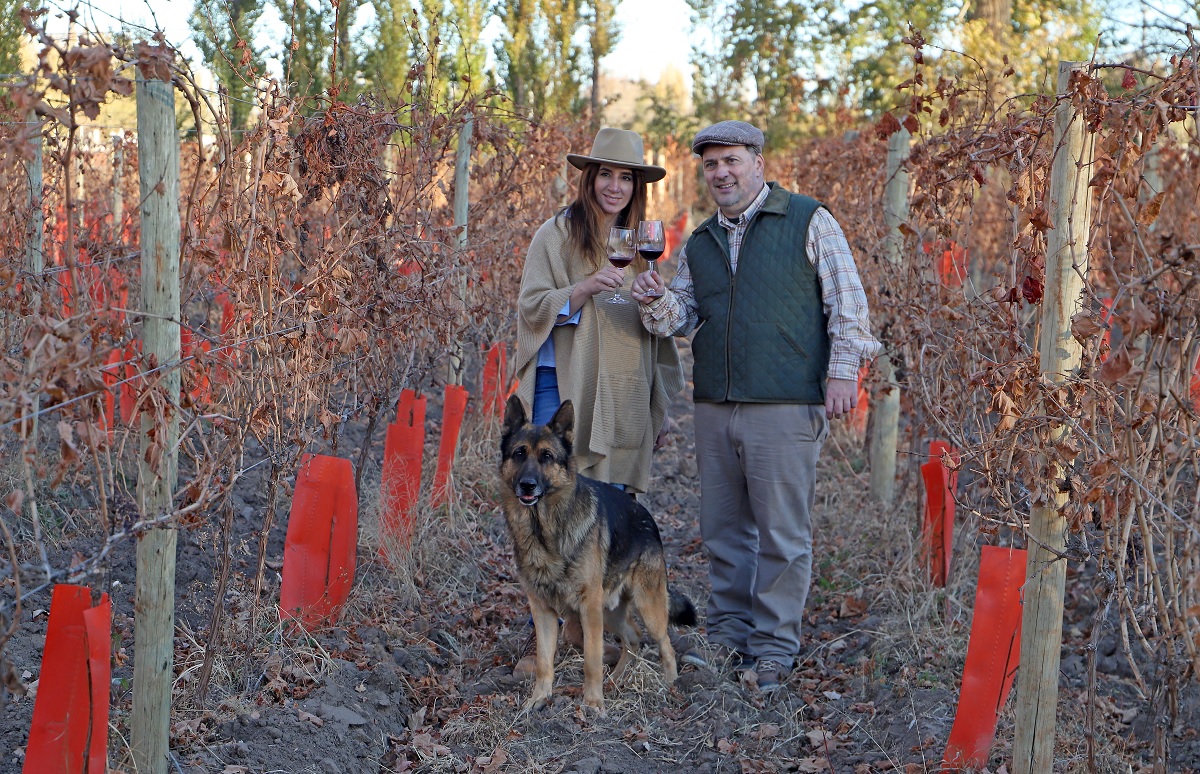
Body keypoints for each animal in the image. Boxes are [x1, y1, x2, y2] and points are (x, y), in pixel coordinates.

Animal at [501, 393, 700, 710]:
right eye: (519, 454)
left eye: (547, 457)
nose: (527, 485)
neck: (545, 530)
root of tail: (646, 515)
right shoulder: (542, 610)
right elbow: (545, 662)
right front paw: (539, 699)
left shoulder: (588, 606)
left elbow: (592, 659)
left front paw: (593, 704)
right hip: (609, 610)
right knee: (633, 639)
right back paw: (616, 680)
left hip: (644, 605)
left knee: (664, 643)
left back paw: (670, 686)